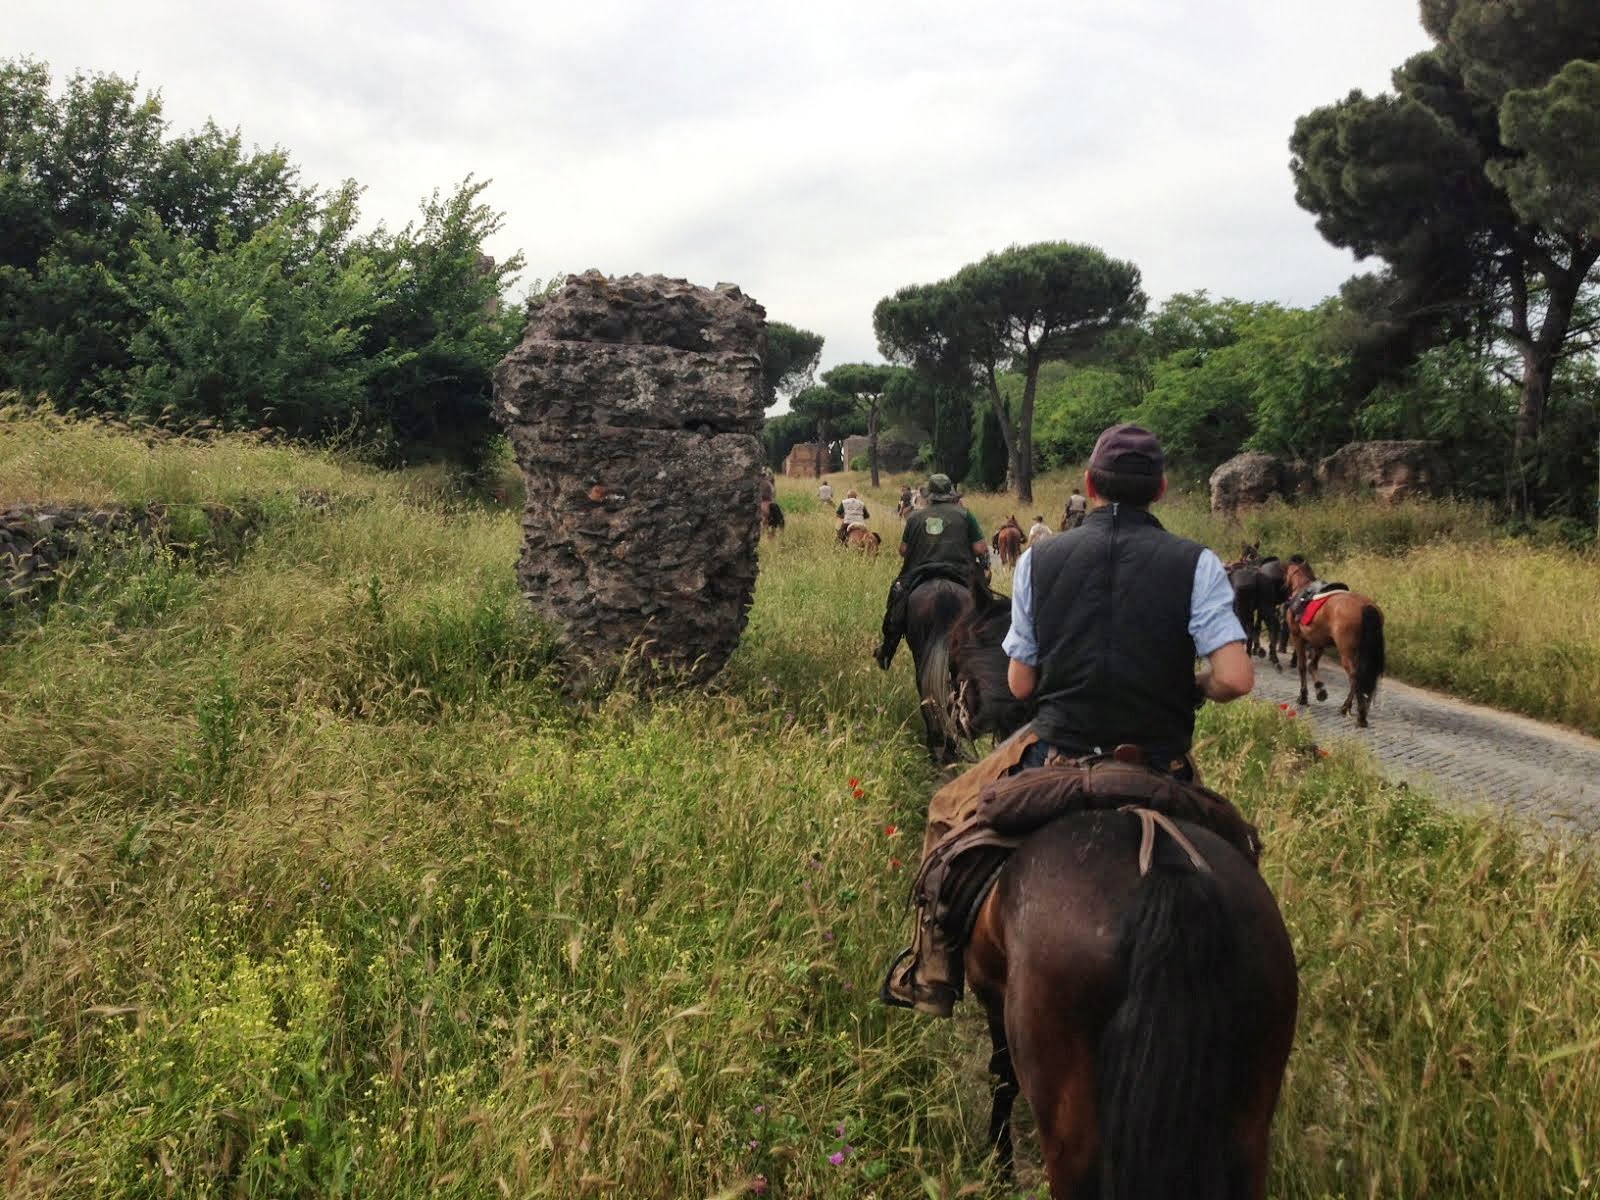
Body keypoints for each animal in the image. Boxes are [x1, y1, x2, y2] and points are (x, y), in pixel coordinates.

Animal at [960, 812, 1299, 1196]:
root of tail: (1167, 875)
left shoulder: (992, 993)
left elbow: (1002, 1079)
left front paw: (1000, 1171)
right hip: (1250, 1127)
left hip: (1069, 1132)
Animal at [1280, 560, 1382, 729]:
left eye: (1285, 574)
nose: (1282, 588)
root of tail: (1365, 606)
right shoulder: (1319, 642)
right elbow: (1312, 665)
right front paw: (1320, 690)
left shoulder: (1298, 638)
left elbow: (1302, 666)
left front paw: (1303, 696)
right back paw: (1350, 708)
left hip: (1346, 652)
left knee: (1354, 677)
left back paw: (1358, 714)